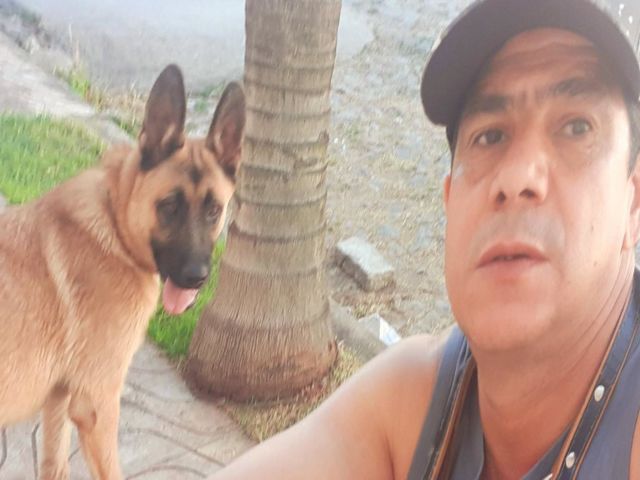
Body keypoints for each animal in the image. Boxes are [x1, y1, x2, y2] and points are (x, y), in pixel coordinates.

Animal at [0, 64, 245, 479]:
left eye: (214, 210)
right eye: (169, 207)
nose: (196, 279)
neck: (114, 225)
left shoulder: (59, 399)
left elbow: (54, 463)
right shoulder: (96, 405)